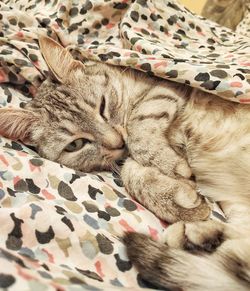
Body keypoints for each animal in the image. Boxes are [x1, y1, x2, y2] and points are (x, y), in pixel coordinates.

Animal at [0, 37, 250, 291]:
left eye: (102, 106)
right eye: (76, 144)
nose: (116, 141)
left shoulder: (164, 89)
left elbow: (137, 125)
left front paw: (171, 167)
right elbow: (130, 170)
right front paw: (179, 197)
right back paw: (197, 237)